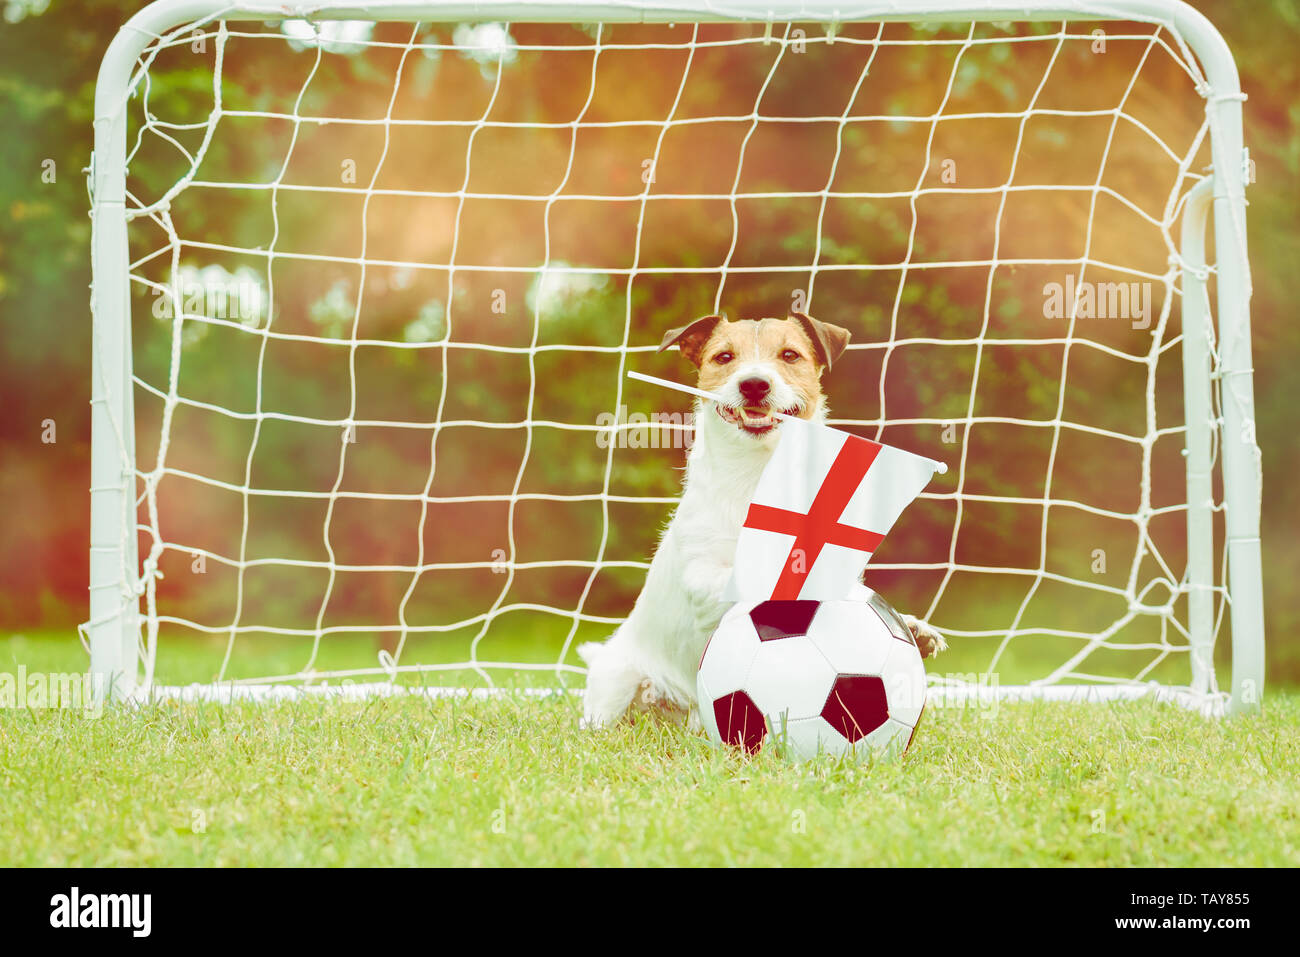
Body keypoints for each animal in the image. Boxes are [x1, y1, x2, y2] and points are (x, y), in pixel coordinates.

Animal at [579, 310, 946, 728]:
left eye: (790, 354)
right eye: (724, 357)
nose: (754, 383)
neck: (759, 474)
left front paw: (913, 627)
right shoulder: (703, 577)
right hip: (617, 682)